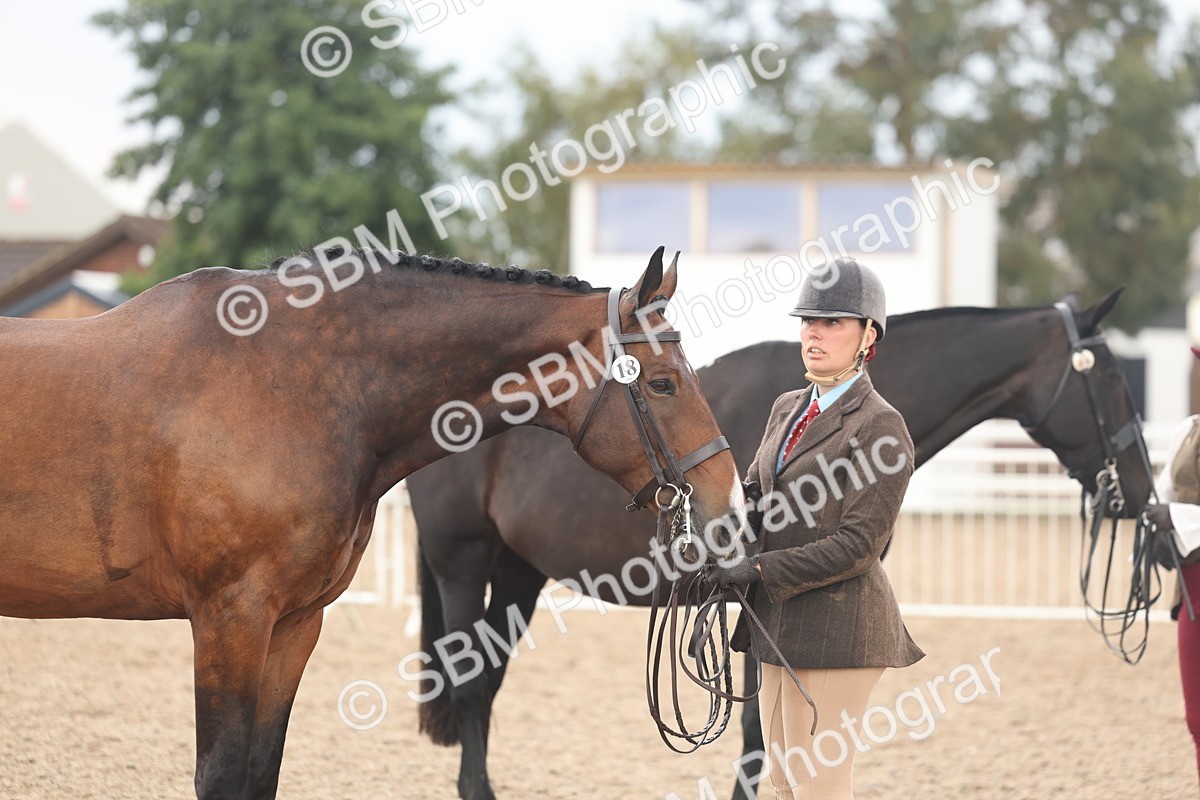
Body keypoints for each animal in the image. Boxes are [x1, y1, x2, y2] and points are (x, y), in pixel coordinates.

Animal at [0, 246, 748, 800]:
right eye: (662, 383)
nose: (728, 507)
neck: (288, 384)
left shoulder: (293, 623)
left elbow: (259, 773)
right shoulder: (228, 619)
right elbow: (221, 776)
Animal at [409, 288, 1154, 800]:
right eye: (1112, 379)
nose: (1141, 491)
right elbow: (756, 736)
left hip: (518, 573)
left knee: (489, 685)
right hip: (460, 564)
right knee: (470, 690)